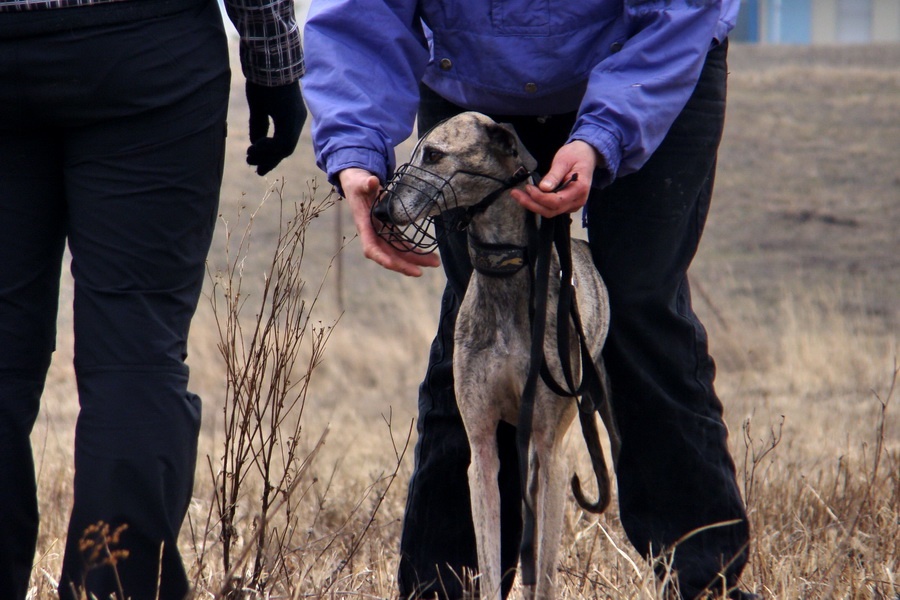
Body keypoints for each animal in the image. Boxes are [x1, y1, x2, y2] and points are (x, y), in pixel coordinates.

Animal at [372, 112, 620, 600]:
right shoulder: (483, 449)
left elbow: (543, 573)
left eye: (434, 154)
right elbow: (488, 558)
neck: (506, 276)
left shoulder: (551, 452)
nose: (380, 211)